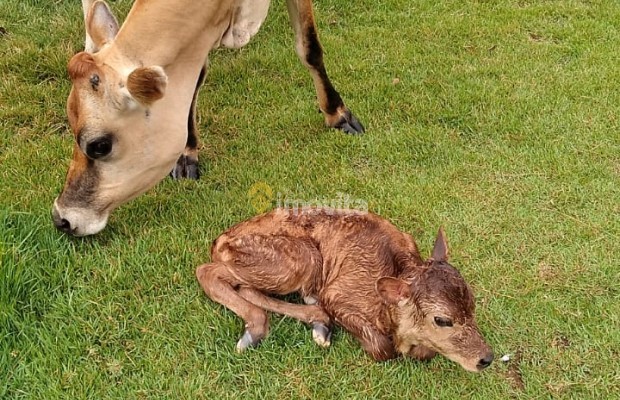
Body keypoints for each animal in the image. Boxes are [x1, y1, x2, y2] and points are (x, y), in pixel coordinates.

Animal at [196, 208, 496, 374]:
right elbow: (383, 348)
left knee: (246, 287)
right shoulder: (337, 294)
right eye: (442, 320)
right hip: (300, 258)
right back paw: (256, 332)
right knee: (207, 272)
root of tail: (220, 240)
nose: (486, 358)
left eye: (472, 305)